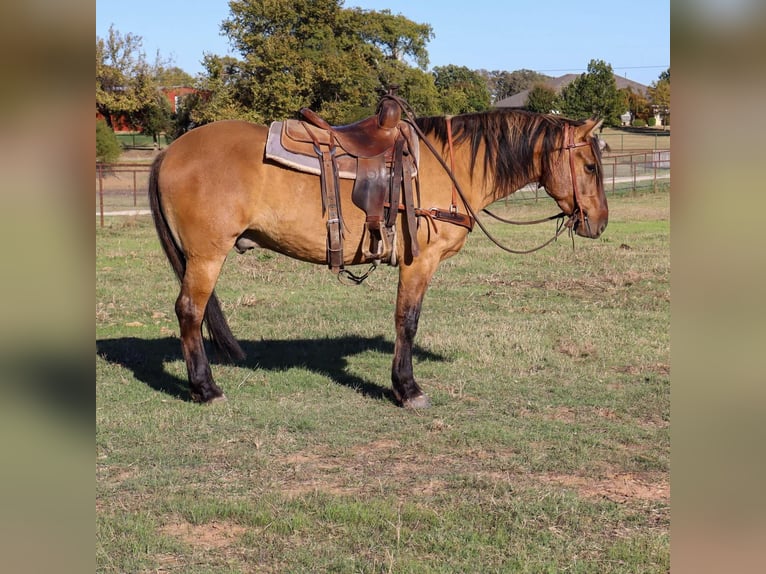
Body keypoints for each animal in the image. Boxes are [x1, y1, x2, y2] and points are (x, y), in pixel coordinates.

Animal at [148, 105, 608, 408]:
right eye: (589, 166)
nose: (599, 222)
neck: (450, 166)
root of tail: (169, 151)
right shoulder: (419, 262)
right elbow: (407, 322)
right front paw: (407, 389)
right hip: (206, 256)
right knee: (190, 311)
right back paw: (205, 389)